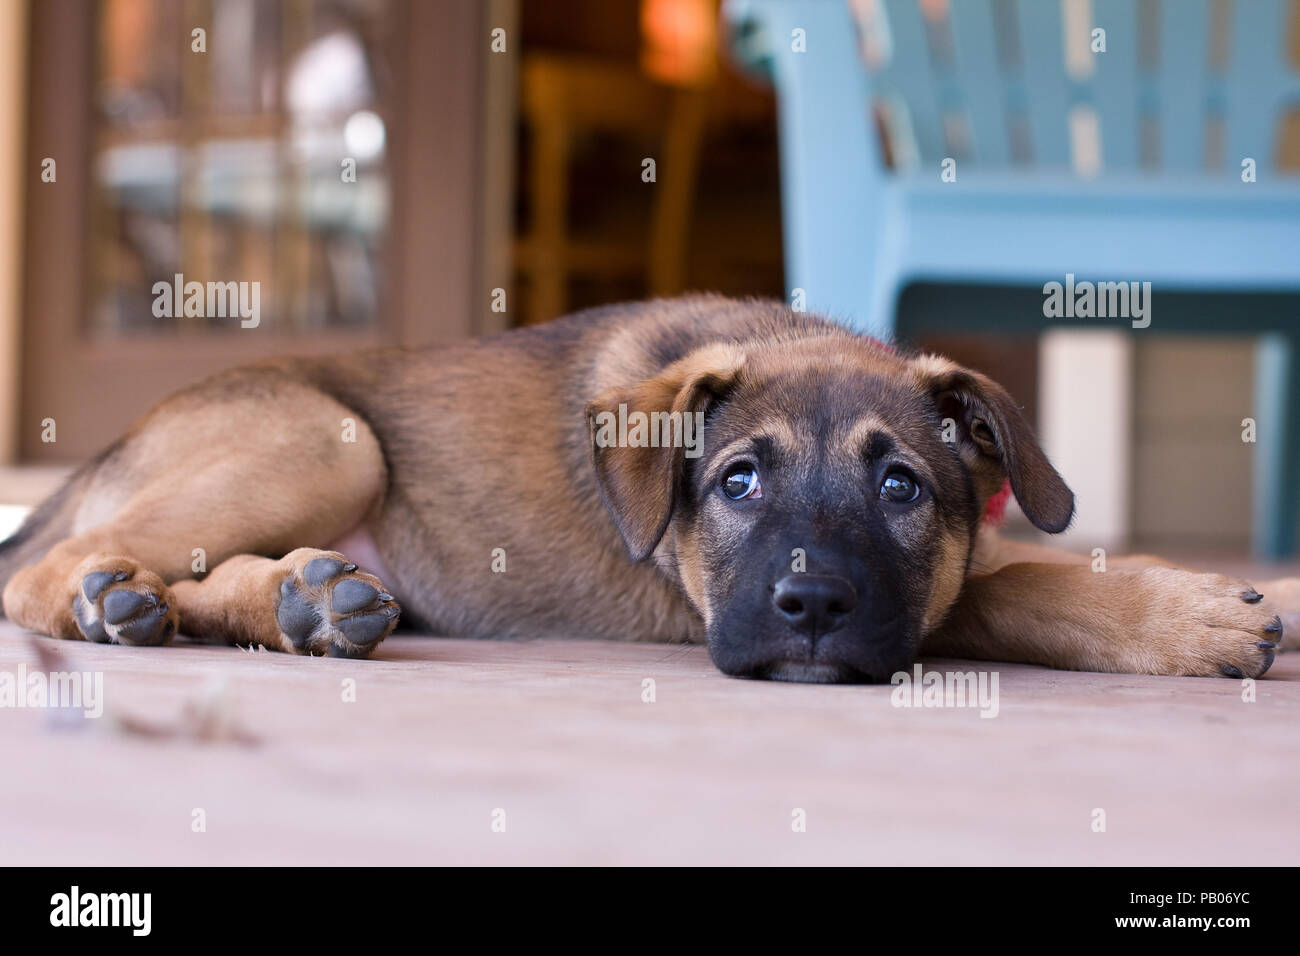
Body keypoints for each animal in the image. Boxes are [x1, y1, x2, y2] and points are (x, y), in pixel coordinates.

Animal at [0, 299, 1284, 681]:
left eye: (903, 486)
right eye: (737, 478)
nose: (810, 610)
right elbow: (1024, 585)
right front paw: (1193, 616)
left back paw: (301, 599)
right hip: (331, 439)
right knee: (44, 571)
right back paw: (113, 599)